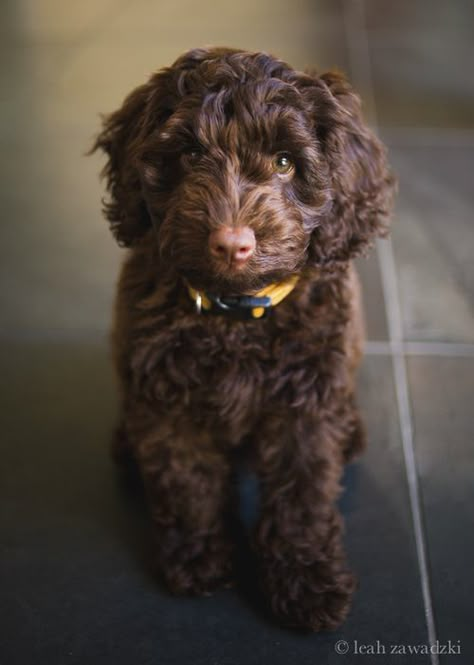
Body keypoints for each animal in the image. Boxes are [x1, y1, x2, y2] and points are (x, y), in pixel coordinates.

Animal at [90, 48, 394, 632]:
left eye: (285, 162)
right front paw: (198, 555)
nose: (232, 243)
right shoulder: (166, 401)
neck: (236, 314)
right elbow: (186, 478)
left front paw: (307, 580)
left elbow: (303, 496)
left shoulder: (305, 408)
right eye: (189, 155)